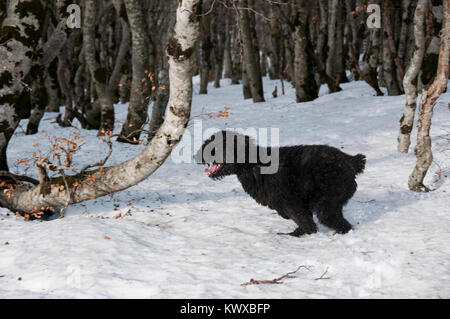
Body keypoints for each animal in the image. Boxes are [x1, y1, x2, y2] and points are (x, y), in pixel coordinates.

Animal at [194, 131, 366, 238]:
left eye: (214, 146)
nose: (196, 156)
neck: (252, 164)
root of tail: (350, 161)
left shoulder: (292, 203)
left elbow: (306, 223)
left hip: (326, 204)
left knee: (340, 224)